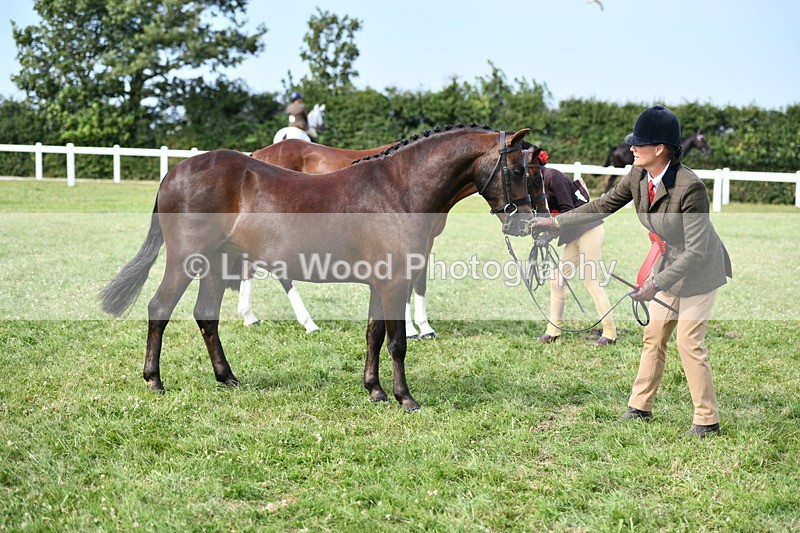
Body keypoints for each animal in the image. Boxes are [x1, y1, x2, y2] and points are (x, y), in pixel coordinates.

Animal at [241, 139, 550, 339]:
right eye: (526, 174)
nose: (536, 221)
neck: (408, 181)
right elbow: (413, 283)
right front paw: (416, 329)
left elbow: (418, 282)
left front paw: (421, 327)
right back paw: (300, 322)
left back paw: (254, 316)